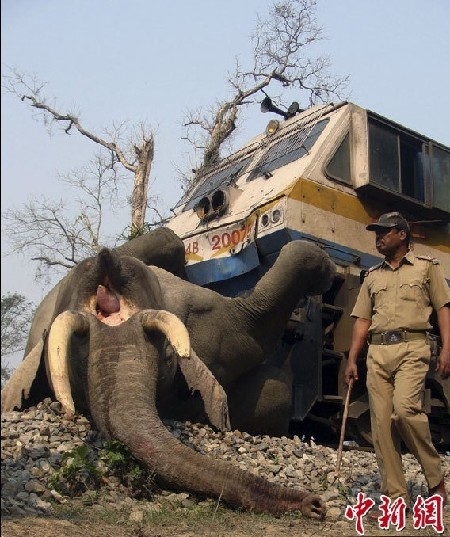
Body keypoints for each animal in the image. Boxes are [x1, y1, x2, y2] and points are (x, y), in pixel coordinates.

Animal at [1, 228, 334, 516]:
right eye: (74, 356)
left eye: (162, 346)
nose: (315, 505)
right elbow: (253, 331)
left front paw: (327, 271)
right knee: (277, 393)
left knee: (169, 238)